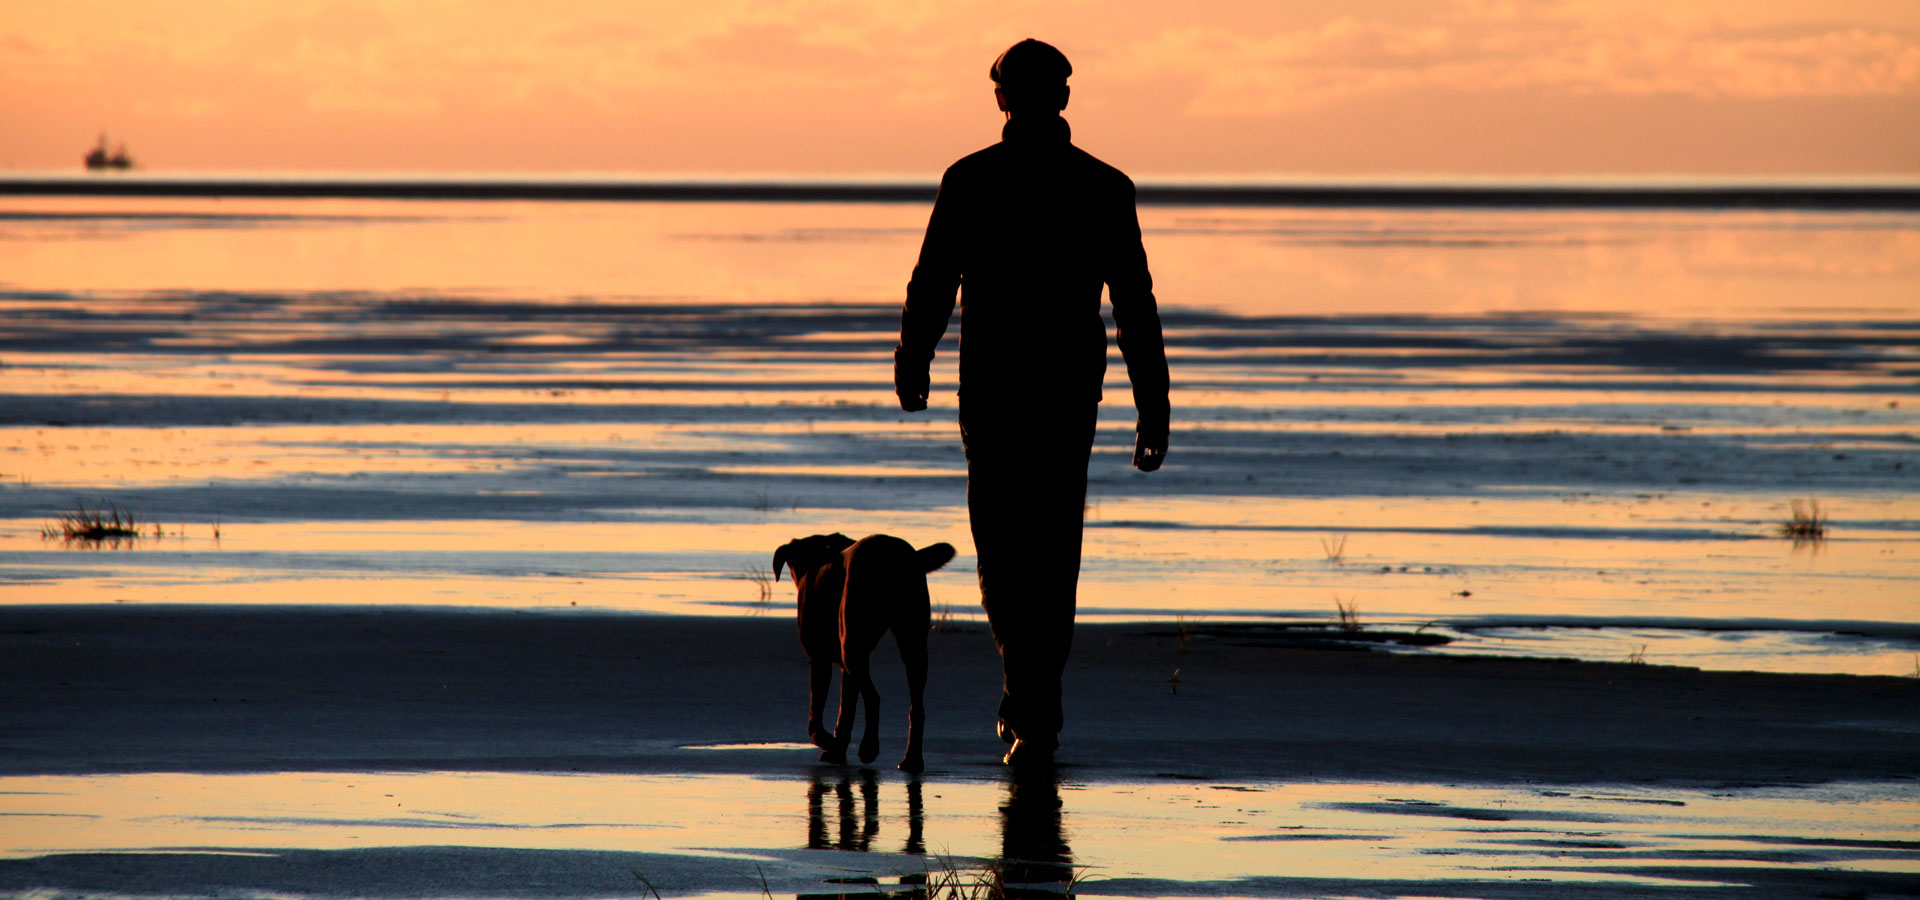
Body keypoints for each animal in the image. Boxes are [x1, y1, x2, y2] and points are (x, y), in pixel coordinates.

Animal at [775, 533, 956, 771]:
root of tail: (894, 554)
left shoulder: (819, 658)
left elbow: (816, 715)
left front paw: (828, 742)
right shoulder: (847, 668)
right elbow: (846, 711)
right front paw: (837, 749)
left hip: (852, 643)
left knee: (873, 698)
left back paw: (869, 748)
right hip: (912, 644)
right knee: (916, 706)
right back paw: (912, 759)